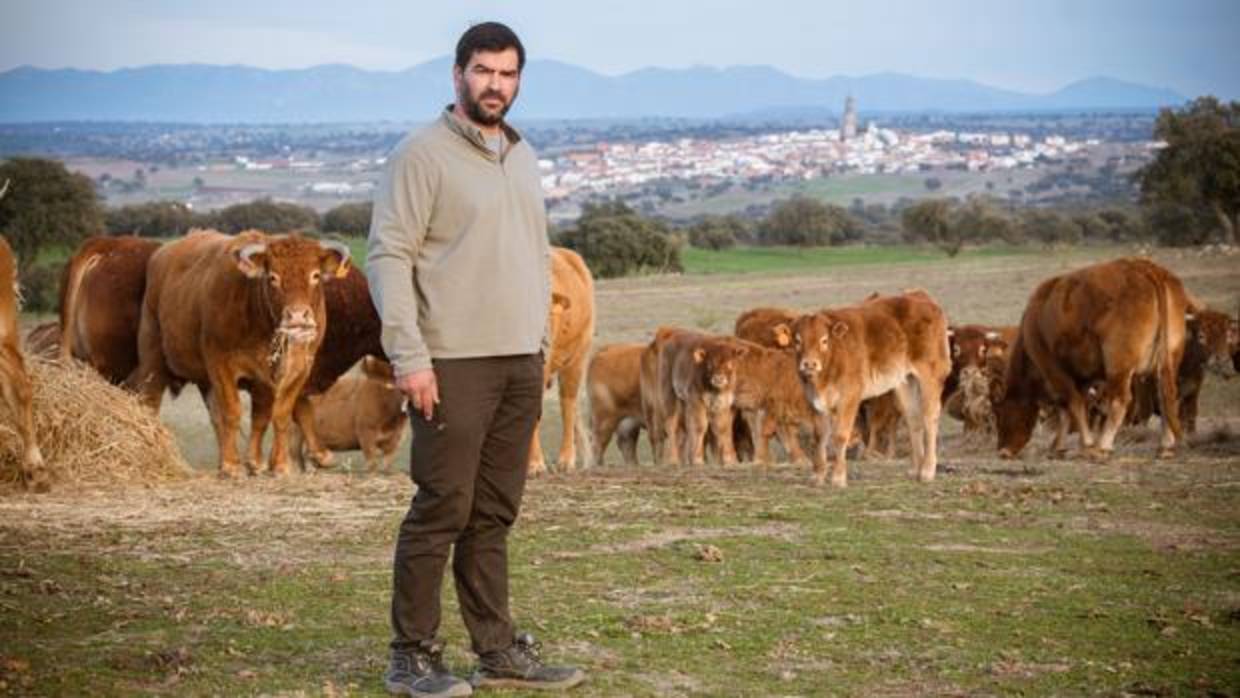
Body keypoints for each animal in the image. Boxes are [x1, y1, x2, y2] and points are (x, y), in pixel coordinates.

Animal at [133, 229, 349, 481]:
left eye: (315, 275)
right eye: (273, 277)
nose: (297, 317)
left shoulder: (293, 371)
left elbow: (276, 415)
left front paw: (275, 464)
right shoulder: (221, 364)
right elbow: (232, 412)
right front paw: (232, 465)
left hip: (207, 378)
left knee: (218, 416)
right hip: (153, 356)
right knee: (151, 401)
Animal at [992, 259, 1185, 461]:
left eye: (1000, 415)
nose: (1002, 451)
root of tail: (1144, 267)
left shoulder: (1053, 369)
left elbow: (1071, 403)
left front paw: (1086, 444)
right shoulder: (1082, 376)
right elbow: (1074, 406)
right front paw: (1065, 446)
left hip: (1118, 365)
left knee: (1120, 401)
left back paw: (1103, 446)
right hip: (1168, 361)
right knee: (1166, 396)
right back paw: (1165, 446)